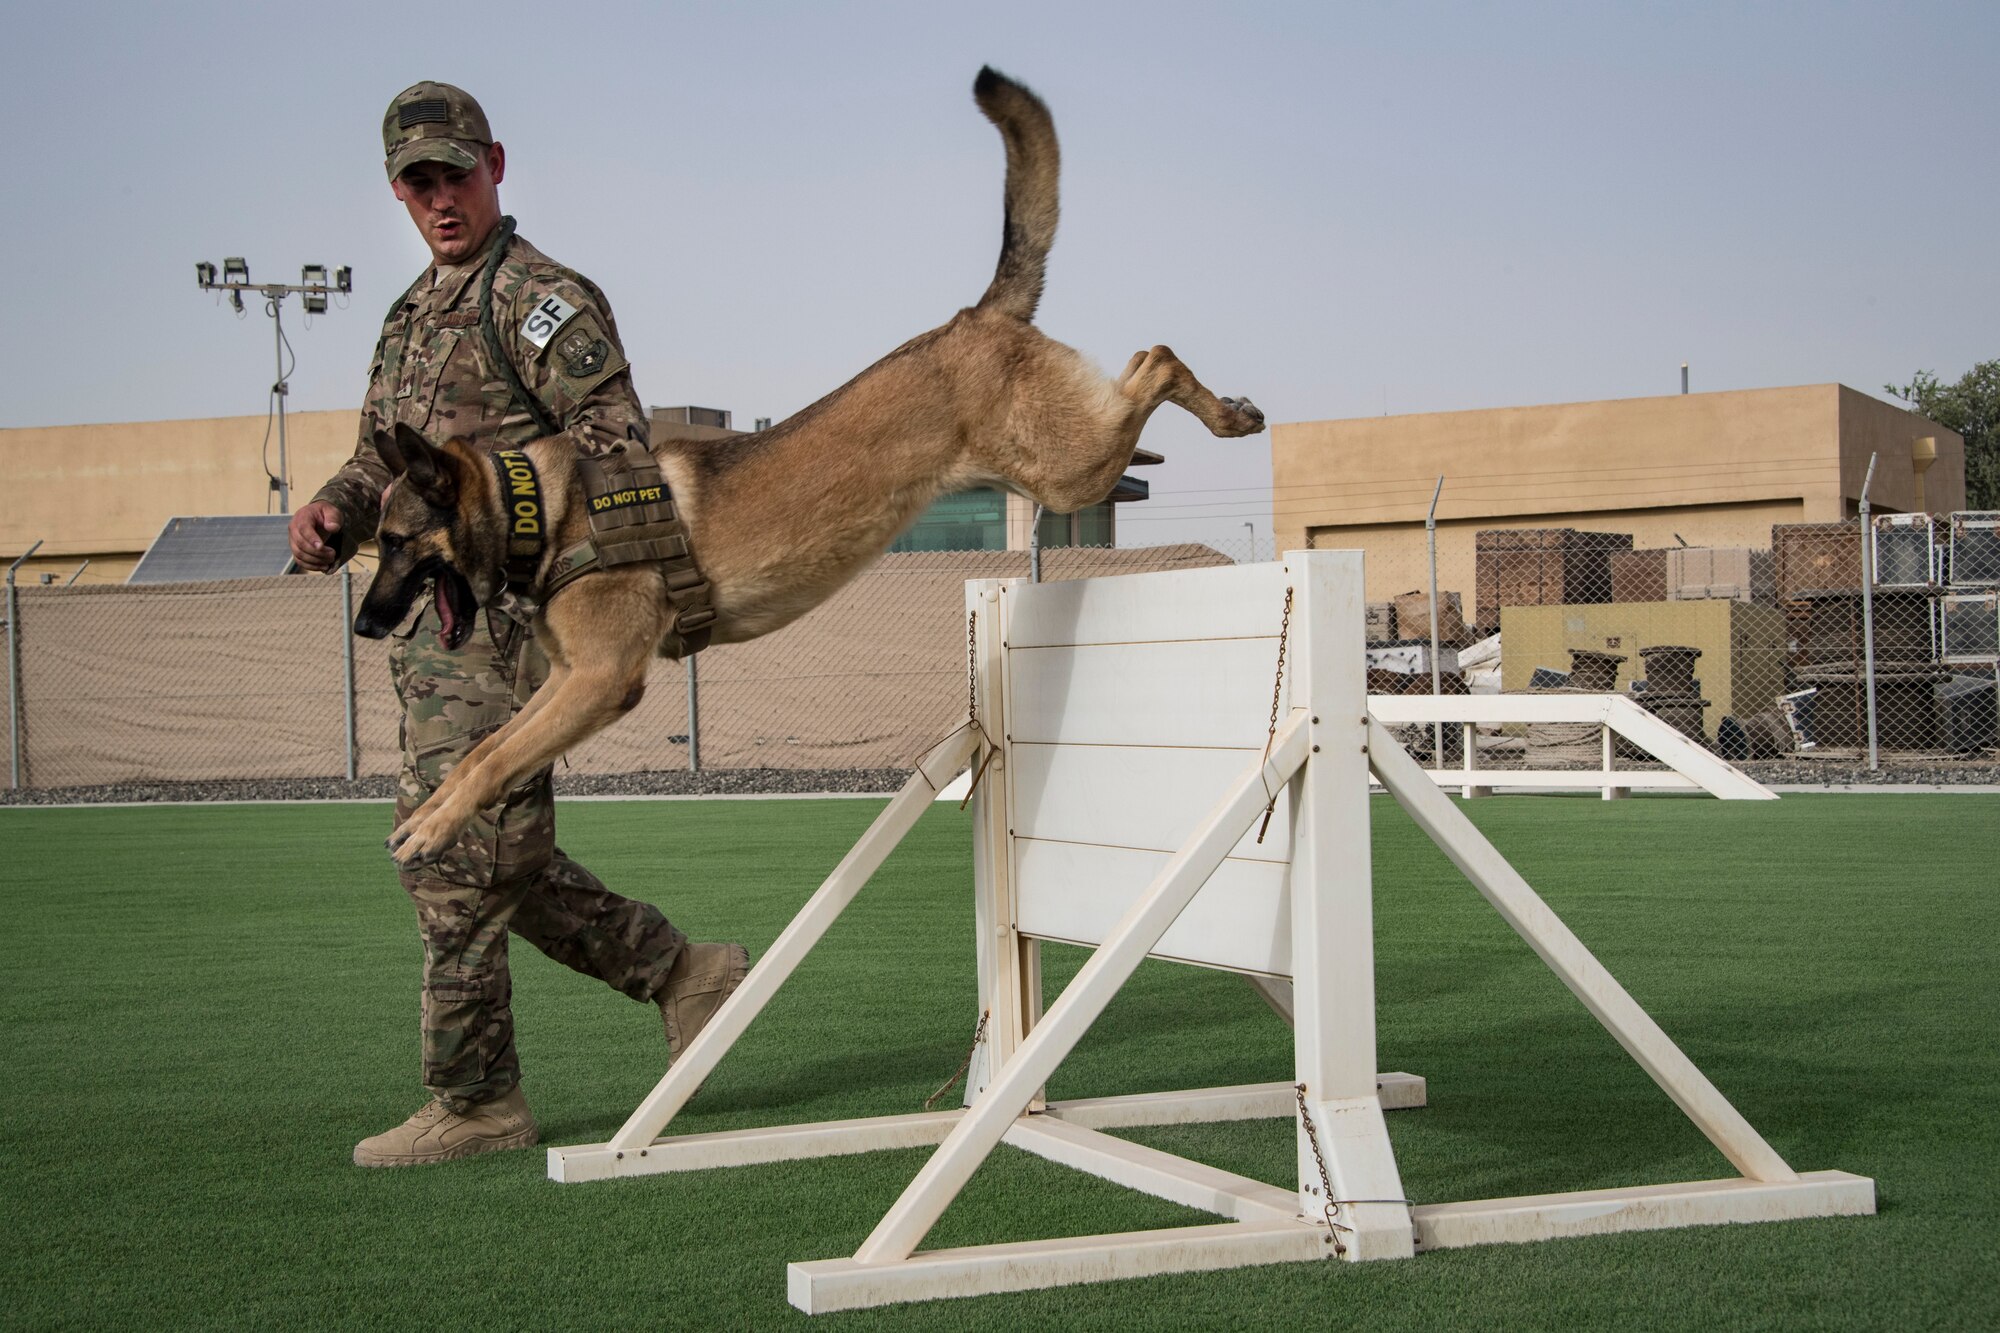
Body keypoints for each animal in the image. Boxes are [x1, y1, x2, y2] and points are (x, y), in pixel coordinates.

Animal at [356, 67, 1264, 868]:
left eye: (397, 542)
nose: (364, 623)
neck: (540, 507)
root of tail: (975, 314)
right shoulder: (567, 683)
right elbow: (484, 753)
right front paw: (429, 818)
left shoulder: (602, 680)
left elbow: (498, 758)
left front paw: (434, 830)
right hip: (1062, 457)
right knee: (1140, 369)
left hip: (1066, 467)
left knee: (1157, 358)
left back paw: (1232, 414)